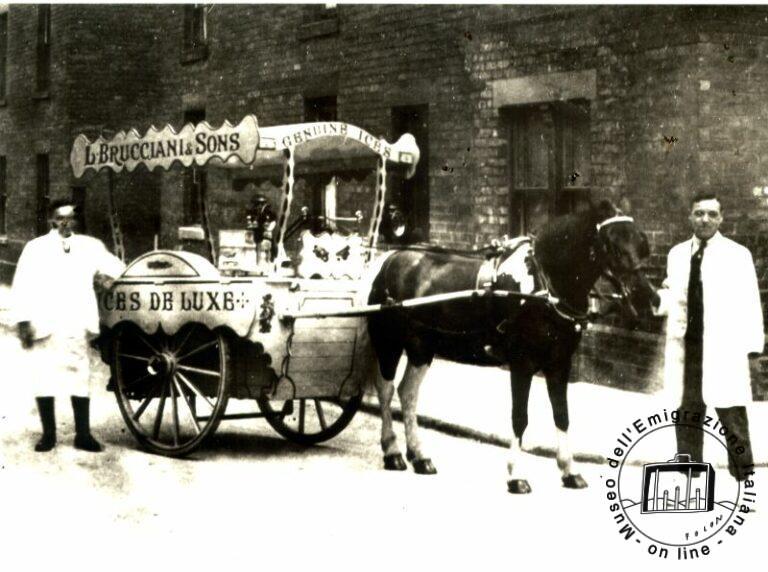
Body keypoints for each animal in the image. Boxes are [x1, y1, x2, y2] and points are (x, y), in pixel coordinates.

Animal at [366, 200, 656, 492]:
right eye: (612, 245)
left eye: (642, 243)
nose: (648, 298)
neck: (544, 285)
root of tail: (388, 259)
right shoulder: (522, 363)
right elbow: (520, 417)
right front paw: (516, 476)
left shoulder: (560, 363)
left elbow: (562, 415)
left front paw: (570, 471)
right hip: (389, 342)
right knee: (386, 390)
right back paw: (392, 452)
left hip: (422, 348)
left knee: (408, 393)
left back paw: (420, 456)